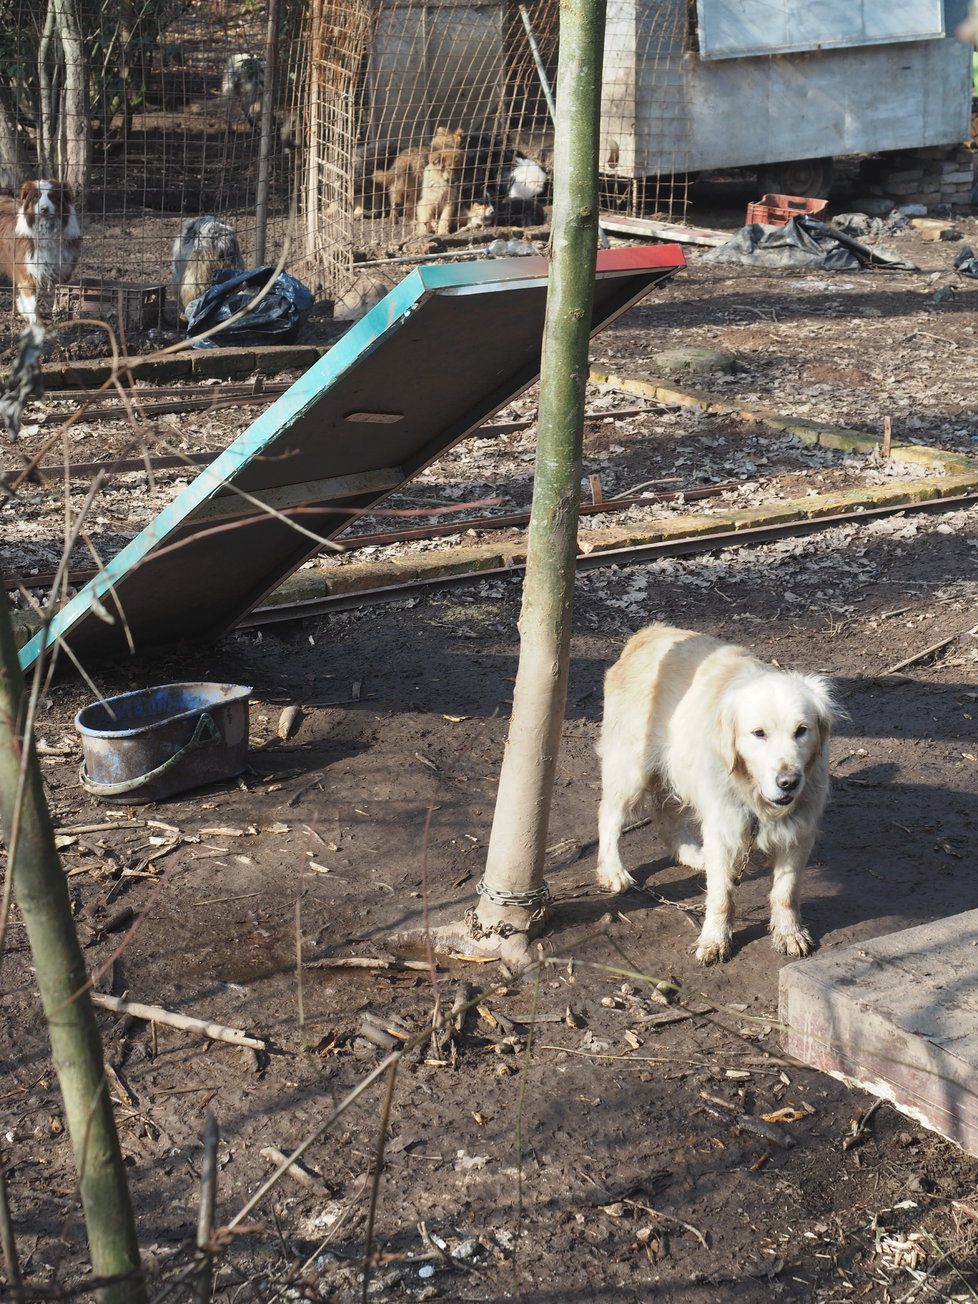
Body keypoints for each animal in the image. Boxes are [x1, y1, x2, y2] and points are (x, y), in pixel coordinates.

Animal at [594, 625, 839, 964]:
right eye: (758, 733)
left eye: (801, 731)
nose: (789, 782)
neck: (755, 797)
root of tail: (648, 632)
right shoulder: (724, 827)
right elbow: (721, 895)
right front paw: (714, 940)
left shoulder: (798, 833)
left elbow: (785, 892)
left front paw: (789, 933)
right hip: (631, 768)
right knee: (609, 816)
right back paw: (613, 871)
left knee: (665, 814)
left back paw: (690, 854)